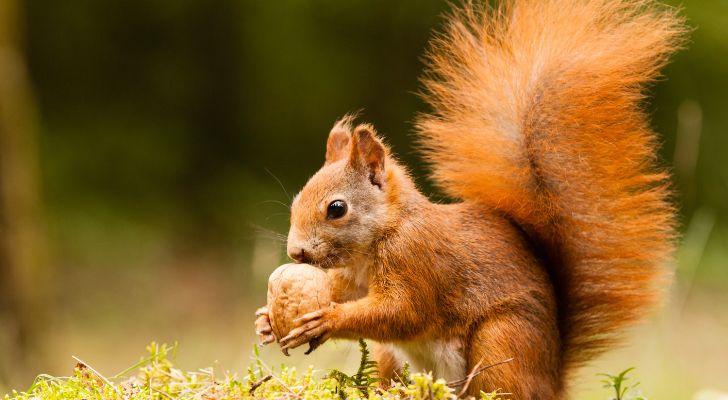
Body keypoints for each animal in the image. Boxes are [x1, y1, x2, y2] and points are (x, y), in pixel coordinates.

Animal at [255, 0, 684, 396]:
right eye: (296, 201)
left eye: (336, 209)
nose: (295, 252)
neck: (381, 236)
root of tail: (552, 378)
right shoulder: (353, 279)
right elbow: (346, 293)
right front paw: (265, 319)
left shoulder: (417, 260)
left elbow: (402, 312)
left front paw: (327, 319)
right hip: (392, 357)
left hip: (502, 340)